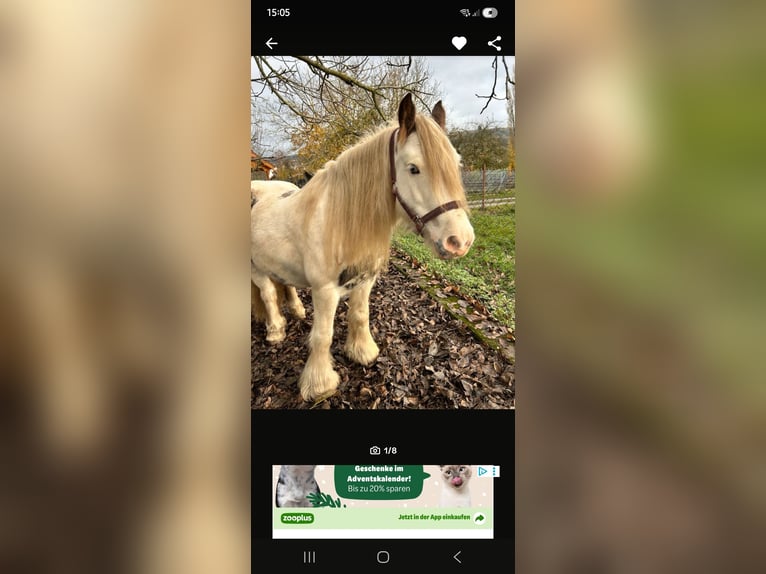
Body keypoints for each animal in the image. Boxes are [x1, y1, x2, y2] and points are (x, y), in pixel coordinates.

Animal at [251, 93, 475, 402]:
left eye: (457, 164)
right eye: (413, 169)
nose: (460, 241)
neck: (339, 218)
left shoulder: (364, 281)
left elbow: (359, 315)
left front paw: (362, 352)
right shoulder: (325, 291)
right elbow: (323, 335)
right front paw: (319, 384)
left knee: (284, 285)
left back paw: (296, 311)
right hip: (255, 269)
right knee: (269, 295)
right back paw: (275, 331)